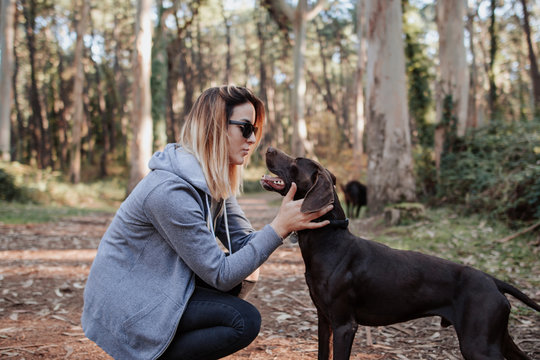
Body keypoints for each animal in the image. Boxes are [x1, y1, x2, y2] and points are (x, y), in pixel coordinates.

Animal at [260, 147, 536, 360]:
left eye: (296, 161)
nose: (268, 148)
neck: (330, 241)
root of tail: (493, 281)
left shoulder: (344, 325)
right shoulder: (324, 320)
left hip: (478, 344)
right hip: (495, 338)